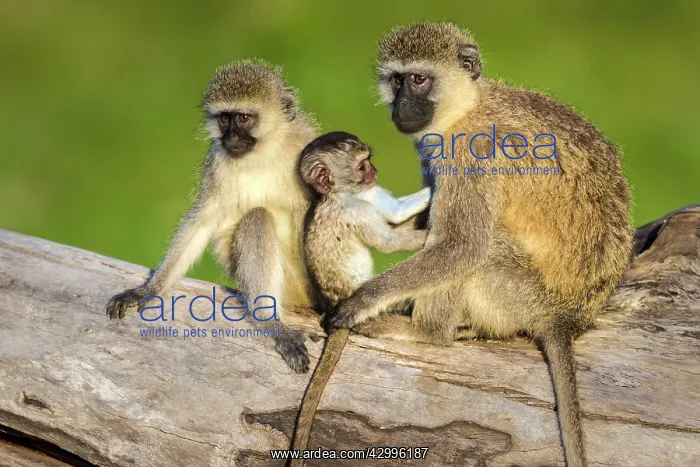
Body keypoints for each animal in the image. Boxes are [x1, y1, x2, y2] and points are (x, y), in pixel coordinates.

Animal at [105, 60, 319, 373]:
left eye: (244, 118)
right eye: (224, 119)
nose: (231, 137)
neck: (263, 153)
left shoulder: (306, 145)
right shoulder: (217, 163)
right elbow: (203, 222)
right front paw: (148, 289)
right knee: (256, 217)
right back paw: (271, 321)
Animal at [289, 131, 429, 462]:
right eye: (362, 165)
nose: (374, 172)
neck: (347, 195)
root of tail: (334, 305)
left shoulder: (369, 196)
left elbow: (397, 211)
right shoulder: (356, 212)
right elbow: (390, 242)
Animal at [322, 22, 633, 467]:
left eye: (419, 80)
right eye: (397, 80)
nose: (402, 105)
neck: (468, 107)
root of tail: (570, 317)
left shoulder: (470, 153)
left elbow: (462, 246)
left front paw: (362, 301)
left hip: (519, 294)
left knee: (477, 255)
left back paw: (427, 332)